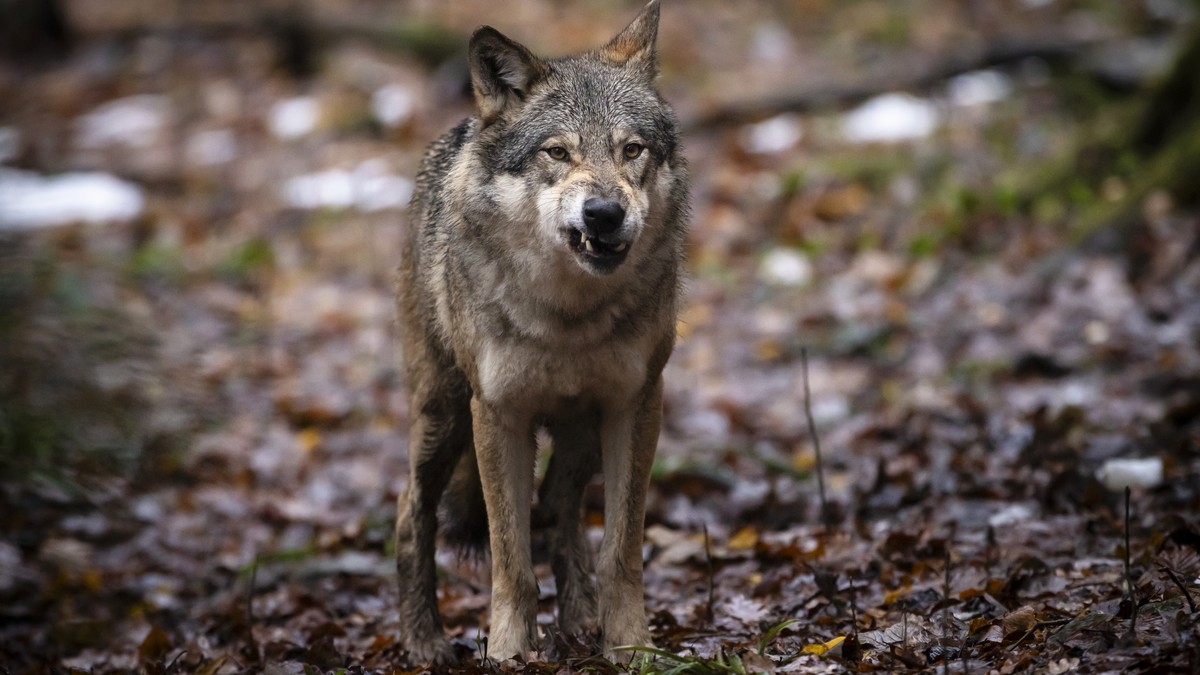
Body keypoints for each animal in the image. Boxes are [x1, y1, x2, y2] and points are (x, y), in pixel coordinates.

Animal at [393, 0, 688, 664]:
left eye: (632, 149)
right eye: (557, 153)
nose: (604, 213)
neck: (568, 317)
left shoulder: (637, 403)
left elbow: (620, 552)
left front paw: (630, 647)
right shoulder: (498, 414)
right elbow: (511, 561)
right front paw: (508, 652)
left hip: (580, 431)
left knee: (558, 508)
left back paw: (578, 621)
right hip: (443, 414)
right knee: (410, 511)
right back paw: (423, 642)